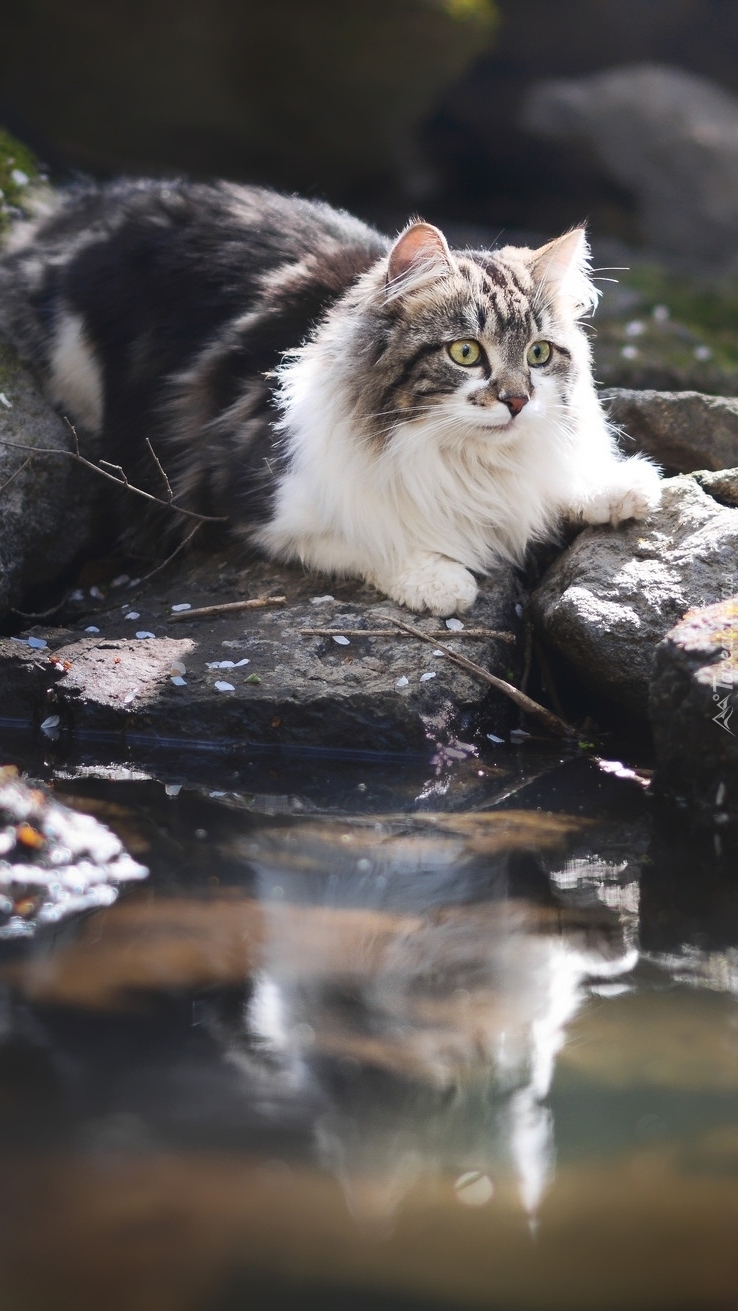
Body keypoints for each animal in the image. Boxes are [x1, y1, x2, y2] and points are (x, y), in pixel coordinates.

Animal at [0, 175, 658, 618]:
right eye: (466, 353)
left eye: (540, 355)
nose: (517, 401)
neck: (468, 463)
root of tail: (67, 213)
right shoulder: (252, 503)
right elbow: (374, 538)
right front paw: (441, 582)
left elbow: (562, 485)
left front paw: (619, 487)